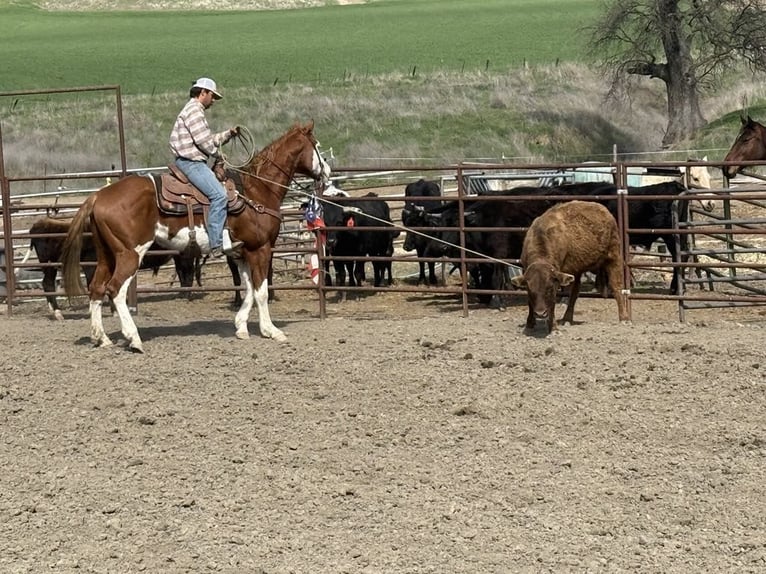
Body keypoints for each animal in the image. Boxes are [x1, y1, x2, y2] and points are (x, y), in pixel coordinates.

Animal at [61, 121, 330, 352]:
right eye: (317, 147)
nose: (327, 171)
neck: (257, 190)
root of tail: (98, 196)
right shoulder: (260, 249)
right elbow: (261, 291)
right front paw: (271, 331)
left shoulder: (240, 252)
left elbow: (248, 288)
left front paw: (241, 327)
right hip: (130, 254)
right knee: (116, 290)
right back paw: (134, 339)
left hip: (106, 254)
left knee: (97, 288)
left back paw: (101, 338)